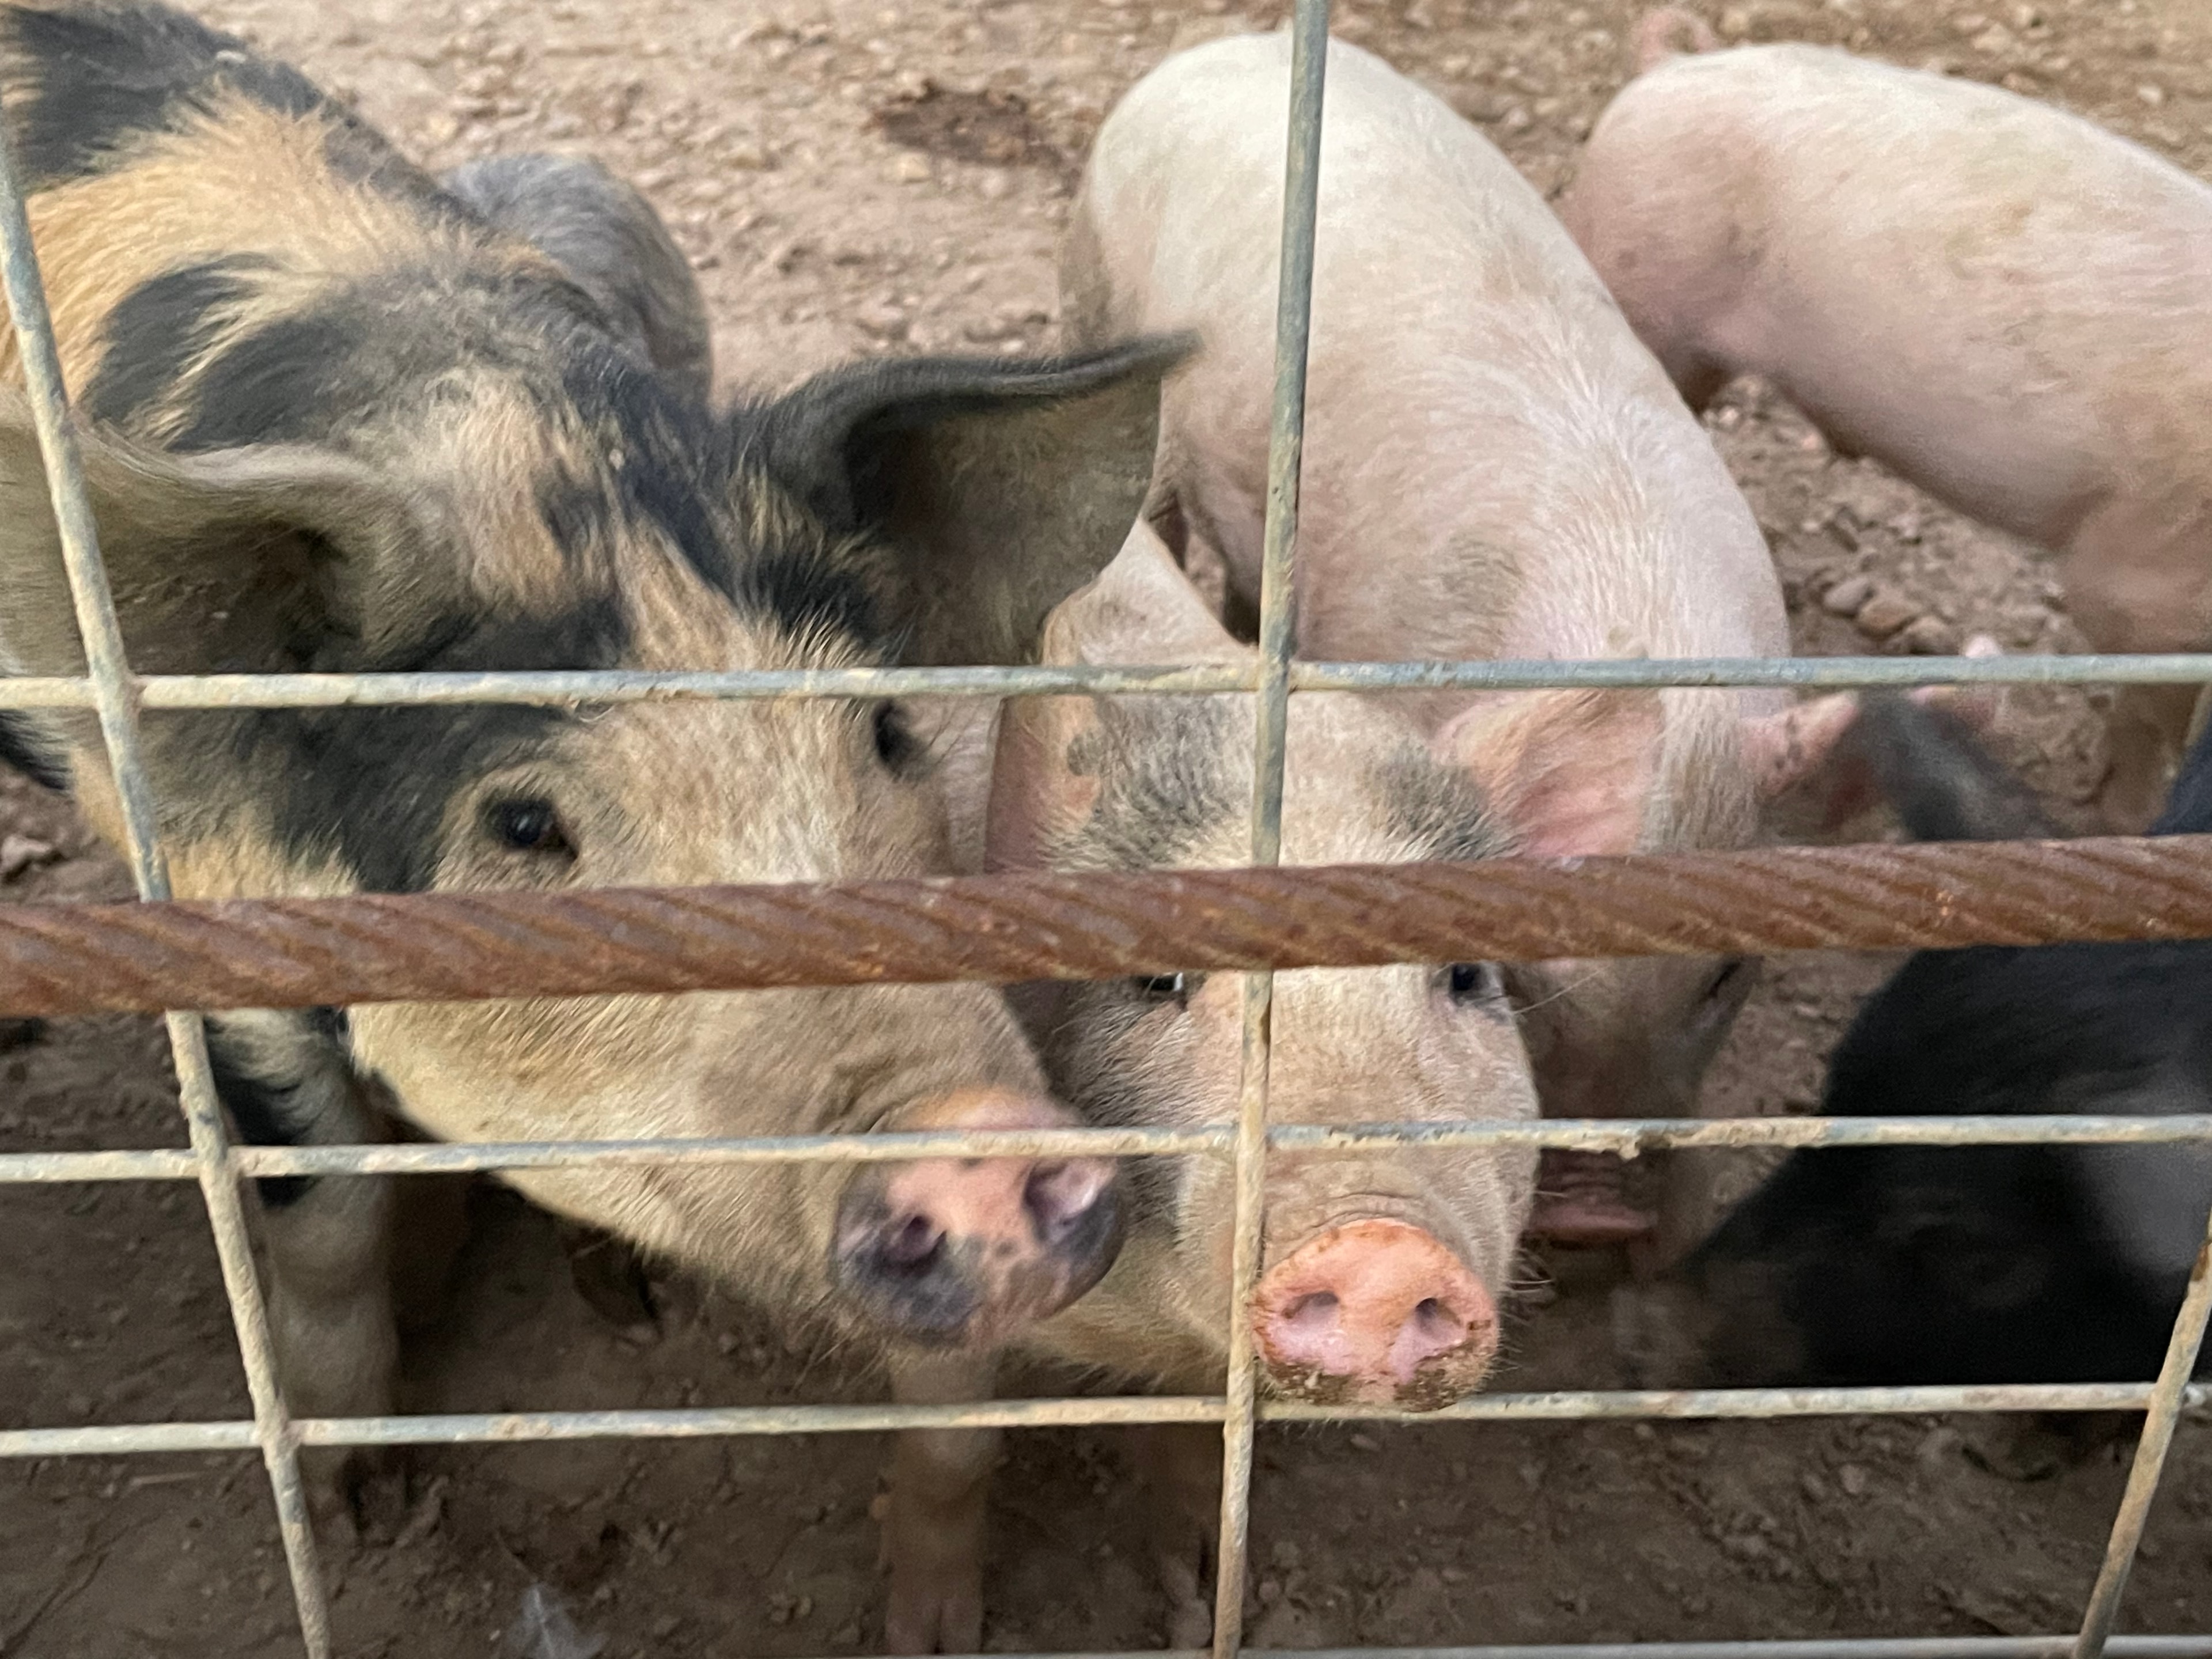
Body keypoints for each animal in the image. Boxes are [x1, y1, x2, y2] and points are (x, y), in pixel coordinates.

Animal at [0, 2, 1178, 1636]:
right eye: (522, 828)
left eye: (882, 730)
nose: (981, 1138)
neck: (514, 446)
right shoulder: (218, 934)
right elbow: (327, 1224)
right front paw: (358, 1512)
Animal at [971, 519, 1538, 1646]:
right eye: (1162, 978)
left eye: (1467, 975)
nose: (1381, 1247)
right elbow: (948, 1455)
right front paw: (930, 1632)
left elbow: (1201, 1438)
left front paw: (1195, 1584)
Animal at [1062, 31, 1853, 1253]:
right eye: (1508, 975)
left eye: (1727, 970)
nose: (1599, 1220)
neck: (1626, 619)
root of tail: (1231, 44)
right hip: (1099, 307)